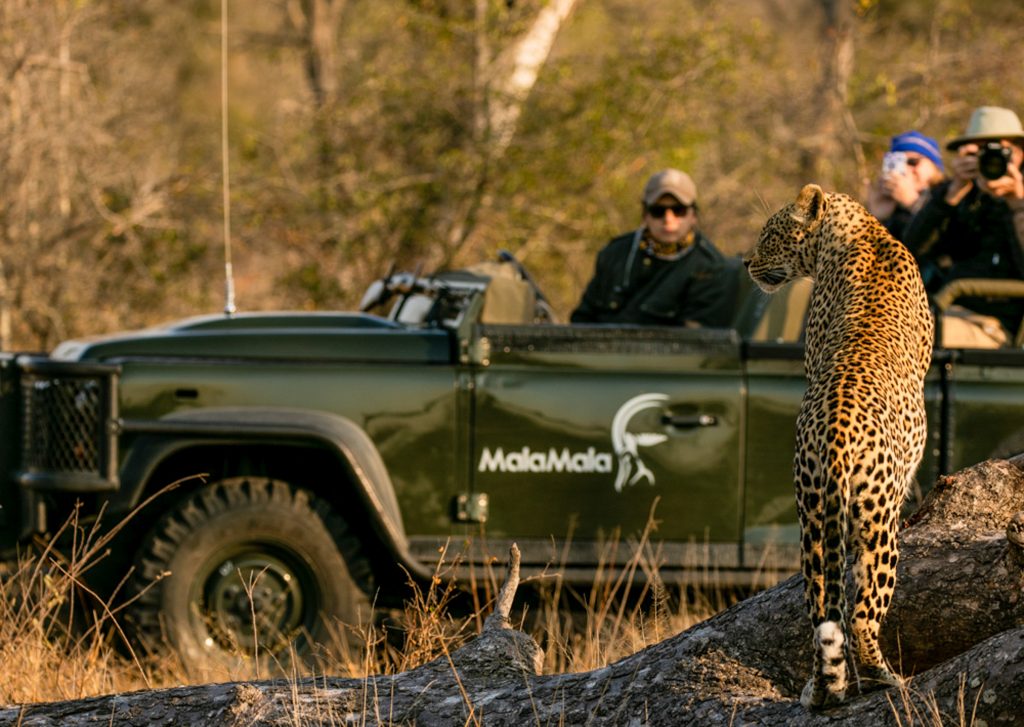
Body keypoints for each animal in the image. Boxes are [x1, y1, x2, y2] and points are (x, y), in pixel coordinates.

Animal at [743, 183, 933, 709]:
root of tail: (836, 430)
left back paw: (821, 690)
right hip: (878, 524)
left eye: (770, 234)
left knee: (820, 611)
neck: (858, 228)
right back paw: (884, 678)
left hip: (811, 516)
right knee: (862, 615)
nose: (746, 262)